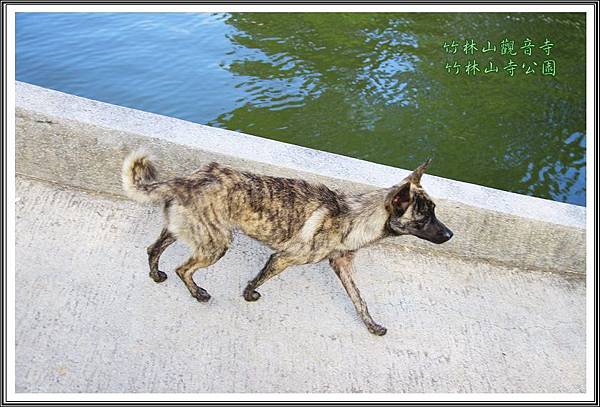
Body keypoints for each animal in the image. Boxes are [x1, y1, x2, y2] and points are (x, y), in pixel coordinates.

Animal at [123, 151, 450, 336]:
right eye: (424, 217)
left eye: (434, 210)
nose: (450, 235)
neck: (353, 216)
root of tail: (186, 179)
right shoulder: (282, 258)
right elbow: (258, 279)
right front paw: (249, 295)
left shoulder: (342, 266)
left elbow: (359, 300)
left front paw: (371, 325)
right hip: (216, 244)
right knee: (184, 269)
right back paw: (198, 294)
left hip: (185, 231)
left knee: (153, 249)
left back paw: (156, 275)